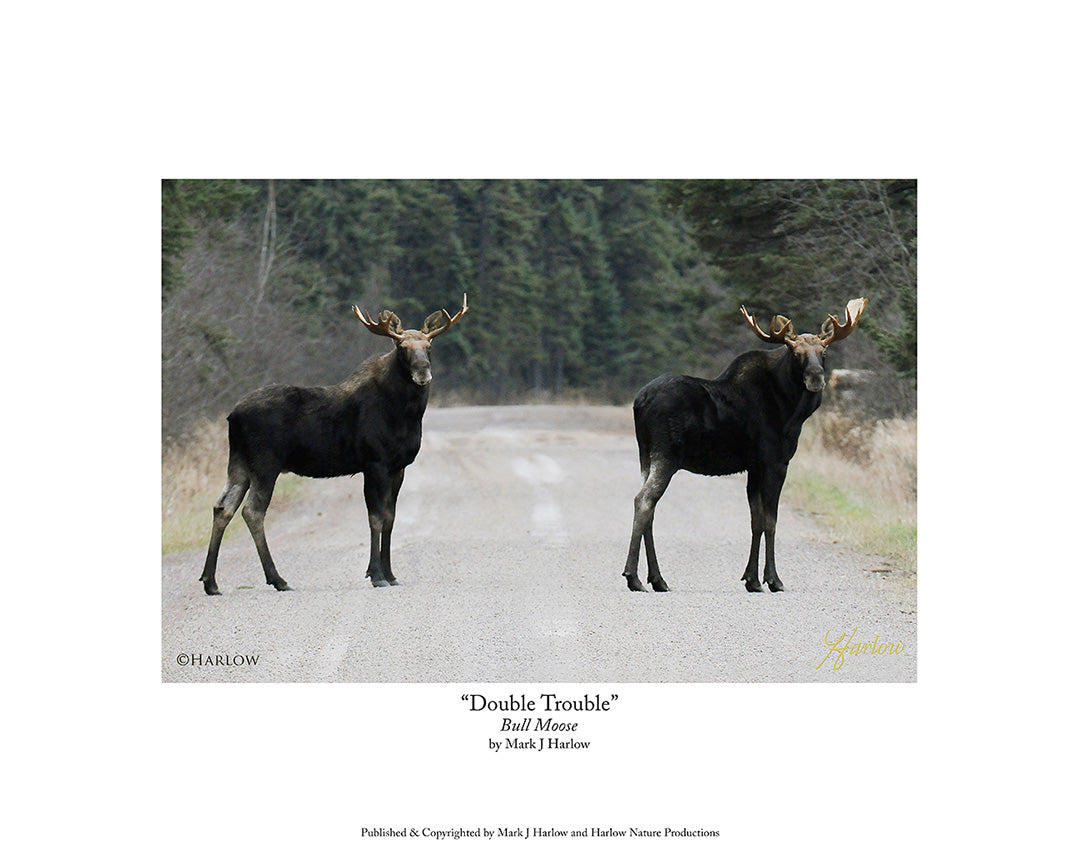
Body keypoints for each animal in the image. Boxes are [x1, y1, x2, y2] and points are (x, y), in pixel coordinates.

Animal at [198, 295, 468, 595]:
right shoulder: (374, 463)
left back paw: (211, 581)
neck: (406, 414)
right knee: (252, 512)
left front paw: (391, 574)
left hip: (239, 464)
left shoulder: (398, 467)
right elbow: (376, 517)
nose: (422, 372)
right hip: (265, 464)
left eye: (429, 346)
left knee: (223, 507)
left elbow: (391, 517)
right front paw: (376, 574)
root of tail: (232, 416)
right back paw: (278, 579)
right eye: (401, 347)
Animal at [621, 297, 867, 593]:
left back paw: (657, 579)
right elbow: (771, 521)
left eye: (825, 352)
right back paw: (634, 577)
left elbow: (755, 521)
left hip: (645, 455)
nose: (816, 377)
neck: (791, 408)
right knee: (644, 500)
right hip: (666, 456)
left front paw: (751, 579)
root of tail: (639, 401)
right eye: (795, 353)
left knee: (650, 506)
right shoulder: (776, 462)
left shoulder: (754, 467)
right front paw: (773, 579)